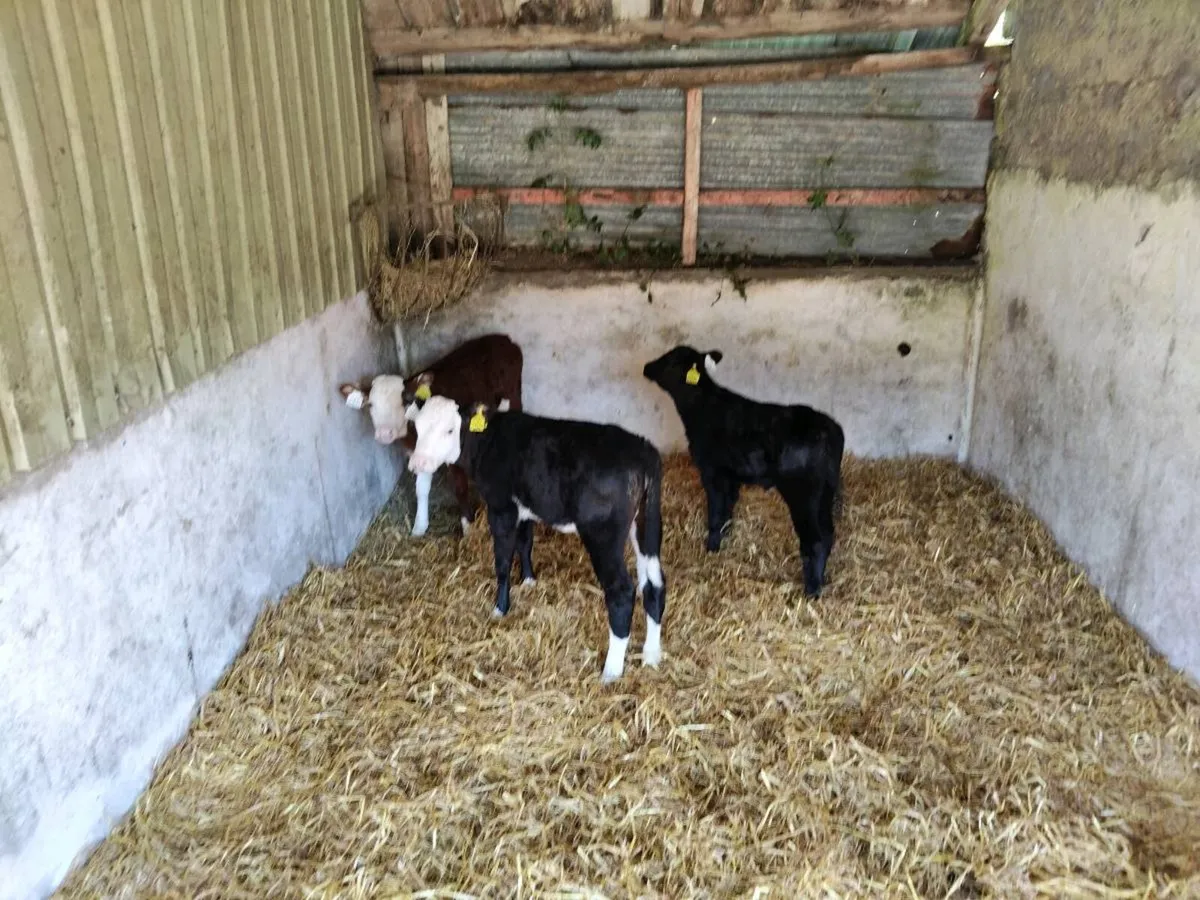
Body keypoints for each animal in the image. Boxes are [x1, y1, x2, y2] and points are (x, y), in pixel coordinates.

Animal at [340, 333, 523, 538]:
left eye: (405, 400)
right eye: (370, 404)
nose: (385, 433)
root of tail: (503, 338)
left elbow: (460, 487)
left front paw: (468, 526)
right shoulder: (417, 453)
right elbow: (421, 489)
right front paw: (419, 526)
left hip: (512, 396)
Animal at [405, 396, 667, 684]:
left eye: (449, 430)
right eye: (417, 427)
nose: (417, 463)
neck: (489, 441)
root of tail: (642, 450)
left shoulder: (501, 507)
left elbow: (502, 561)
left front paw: (500, 608)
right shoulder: (526, 508)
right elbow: (525, 544)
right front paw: (529, 580)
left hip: (603, 535)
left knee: (622, 591)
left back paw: (611, 671)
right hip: (647, 525)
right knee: (654, 585)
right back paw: (651, 655)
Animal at [642, 345, 844, 597]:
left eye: (671, 360)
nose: (646, 367)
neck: (703, 408)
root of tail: (829, 429)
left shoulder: (712, 471)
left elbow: (716, 512)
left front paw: (711, 548)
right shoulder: (731, 475)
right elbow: (728, 509)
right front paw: (724, 540)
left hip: (803, 493)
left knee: (815, 540)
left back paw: (812, 590)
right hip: (826, 492)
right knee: (828, 534)